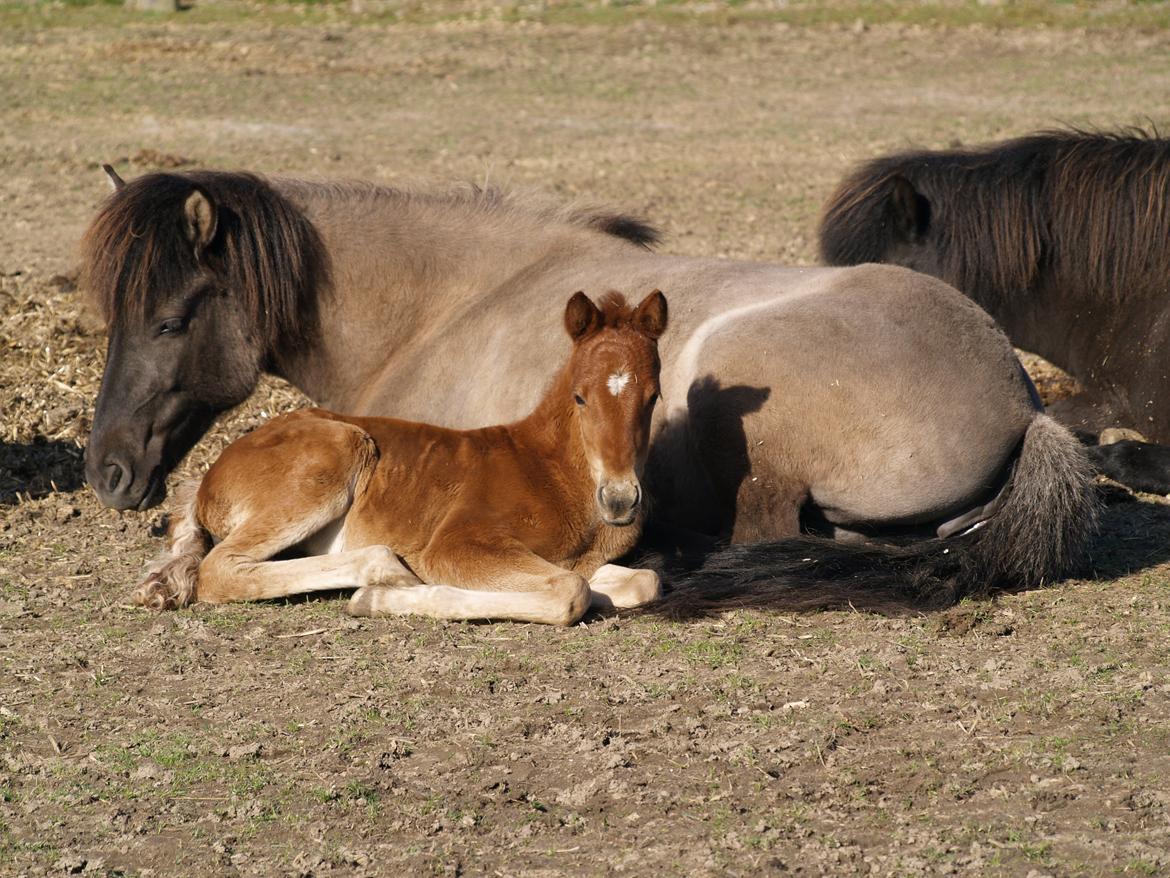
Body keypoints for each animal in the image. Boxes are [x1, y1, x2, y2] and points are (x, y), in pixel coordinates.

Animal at [134, 292, 669, 627]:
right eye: (580, 397)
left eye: (653, 397)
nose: (620, 500)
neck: (555, 473)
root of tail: (207, 478)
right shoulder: (459, 543)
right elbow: (569, 592)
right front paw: (385, 598)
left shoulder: (591, 561)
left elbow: (642, 581)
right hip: (338, 452)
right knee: (220, 569)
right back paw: (385, 571)